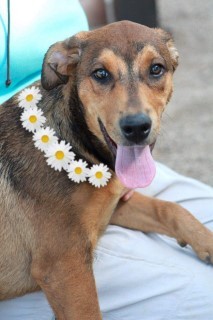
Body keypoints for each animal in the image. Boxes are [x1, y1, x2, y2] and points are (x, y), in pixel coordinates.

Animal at [0, 21, 213, 318]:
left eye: (156, 68)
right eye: (100, 74)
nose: (136, 127)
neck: (76, 143)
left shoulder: (111, 206)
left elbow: (170, 208)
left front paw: (208, 243)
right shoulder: (64, 265)